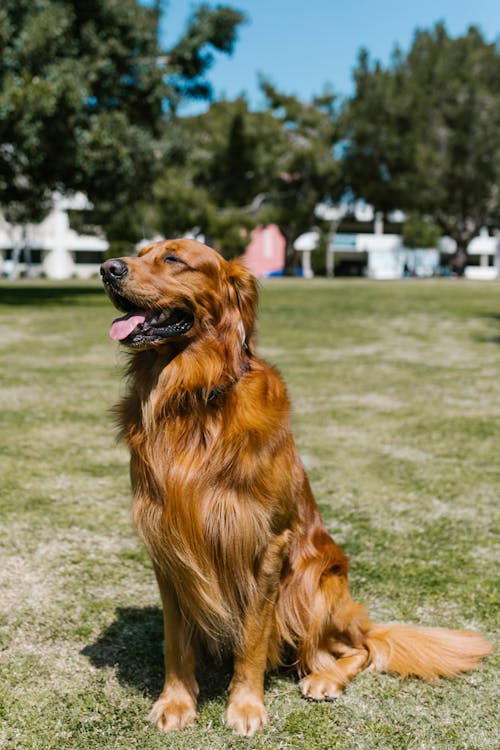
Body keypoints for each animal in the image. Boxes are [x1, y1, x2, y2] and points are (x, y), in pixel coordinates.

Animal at [99, 242, 490, 740]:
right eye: (140, 251)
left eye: (173, 259)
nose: (107, 268)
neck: (193, 397)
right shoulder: (168, 545)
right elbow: (176, 641)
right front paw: (176, 702)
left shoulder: (266, 544)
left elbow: (251, 640)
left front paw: (245, 706)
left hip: (310, 581)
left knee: (359, 649)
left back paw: (324, 678)